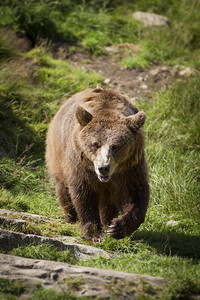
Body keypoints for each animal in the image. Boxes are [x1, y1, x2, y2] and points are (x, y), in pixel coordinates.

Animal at [45, 88, 148, 240]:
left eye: (115, 146)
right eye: (95, 144)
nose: (103, 168)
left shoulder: (130, 166)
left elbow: (133, 193)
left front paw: (117, 227)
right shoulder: (80, 164)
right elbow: (83, 193)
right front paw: (93, 232)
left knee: (108, 202)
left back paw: (106, 222)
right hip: (58, 154)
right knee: (63, 188)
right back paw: (71, 216)